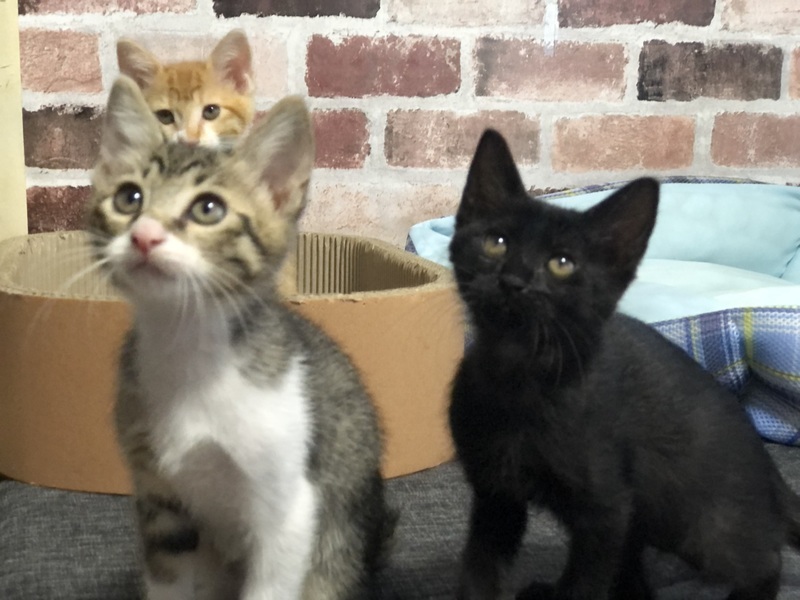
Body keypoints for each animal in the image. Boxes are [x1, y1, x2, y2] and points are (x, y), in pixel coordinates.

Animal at [86, 75, 394, 600]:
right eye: (129, 198)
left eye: (208, 208)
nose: (144, 236)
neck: (189, 349)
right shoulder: (160, 503)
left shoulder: (289, 507)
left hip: (335, 552)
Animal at [447, 129, 800, 600]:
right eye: (495, 243)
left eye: (562, 264)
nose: (513, 282)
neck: (520, 377)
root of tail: (769, 472)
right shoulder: (495, 494)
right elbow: (480, 570)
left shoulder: (606, 509)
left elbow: (587, 583)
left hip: (695, 523)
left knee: (763, 558)